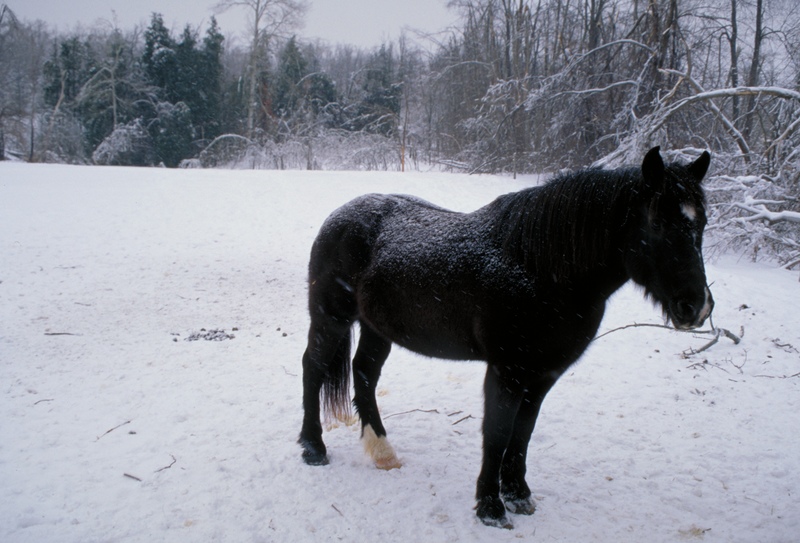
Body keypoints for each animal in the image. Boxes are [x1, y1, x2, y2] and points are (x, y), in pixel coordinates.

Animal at [298, 147, 712, 528]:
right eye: (656, 223)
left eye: (702, 222)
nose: (696, 306)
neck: (541, 270)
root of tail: (339, 218)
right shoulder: (507, 371)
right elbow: (497, 433)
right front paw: (490, 507)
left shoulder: (543, 375)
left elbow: (523, 433)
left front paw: (518, 494)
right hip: (330, 319)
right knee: (313, 368)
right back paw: (313, 448)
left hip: (376, 328)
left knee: (364, 374)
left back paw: (382, 450)